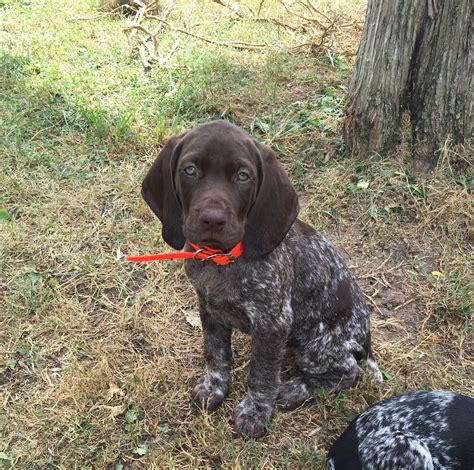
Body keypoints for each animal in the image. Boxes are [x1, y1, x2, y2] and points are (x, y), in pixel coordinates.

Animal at [141, 119, 382, 438]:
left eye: (243, 176)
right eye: (189, 170)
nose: (212, 219)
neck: (222, 260)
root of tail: (366, 339)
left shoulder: (272, 323)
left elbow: (262, 373)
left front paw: (255, 412)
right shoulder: (209, 308)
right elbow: (215, 353)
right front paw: (215, 388)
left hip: (316, 347)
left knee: (350, 372)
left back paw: (294, 389)